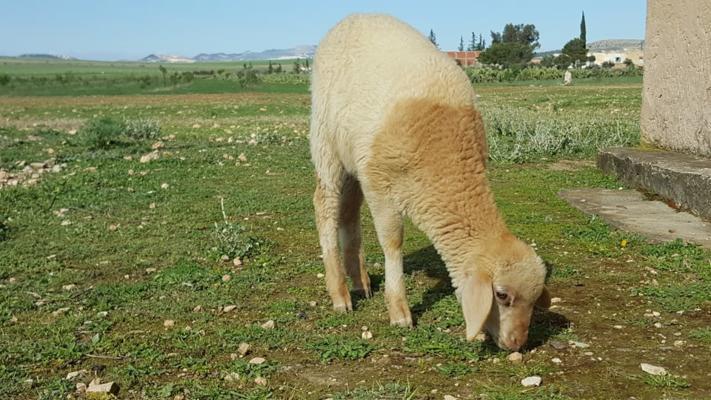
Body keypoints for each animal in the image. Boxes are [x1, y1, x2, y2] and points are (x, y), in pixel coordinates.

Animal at [310, 13, 552, 350]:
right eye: (502, 295)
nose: (516, 343)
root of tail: (354, 17)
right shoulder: (380, 184)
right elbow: (393, 242)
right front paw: (399, 311)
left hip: (353, 157)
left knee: (348, 211)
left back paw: (360, 283)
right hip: (326, 142)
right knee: (326, 205)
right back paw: (340, 294)